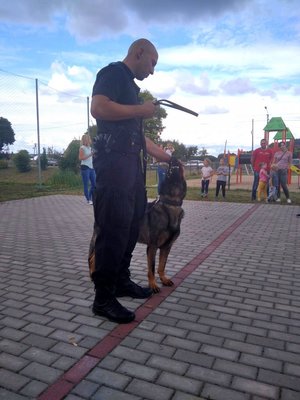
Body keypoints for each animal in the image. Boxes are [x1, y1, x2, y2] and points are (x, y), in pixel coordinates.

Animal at [87, 158, 185, 292]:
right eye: (170, 169)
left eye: (178, 166)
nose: (173, 159)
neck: (171, 204)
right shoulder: (152, 247)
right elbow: (152, 268)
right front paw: (153, 285)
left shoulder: (166, 247)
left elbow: (162, 266)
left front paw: (164, 279)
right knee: (92, 258)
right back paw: (94, 276)